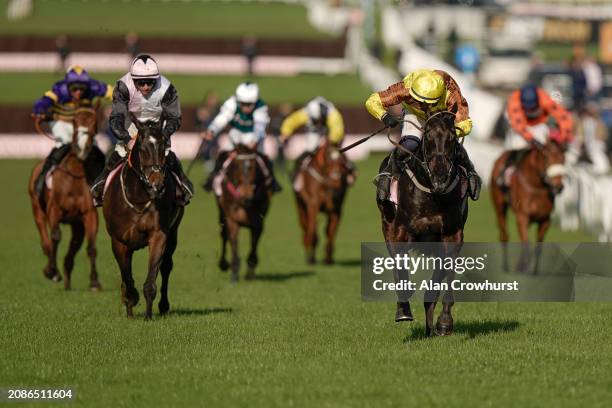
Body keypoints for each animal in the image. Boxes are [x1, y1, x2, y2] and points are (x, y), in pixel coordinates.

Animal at [27, 107, 103, 288]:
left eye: (94, 123)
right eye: (75, 123)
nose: (82, 148)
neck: (74, 176)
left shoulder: (89, 215)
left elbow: (91, 247)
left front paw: (94, 282)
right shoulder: (54, 210)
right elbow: (55, 237)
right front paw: (52, 272)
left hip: (77, 224)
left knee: (74, 246)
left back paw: (67, 278)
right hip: (37, 210)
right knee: (46, 242)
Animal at [103, 117, 183, 318]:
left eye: (164, 146)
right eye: (142, 147)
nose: (157, 185)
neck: (139, 197)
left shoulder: (159, 235)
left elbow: (151, 279)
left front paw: (148, 315)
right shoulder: (118, 241)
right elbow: (127, 278)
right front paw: (130, 303)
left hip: (174, 232)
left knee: (166, 266)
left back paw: (163, 306)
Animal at [215, 145, 272, 282]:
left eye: (254, 166)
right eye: (236, 166)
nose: (246, 195)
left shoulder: (258, 221)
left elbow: (254, 244)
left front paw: (250, 270)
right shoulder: (232, 220)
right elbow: (233, 242)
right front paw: (234, 272)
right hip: (222, 213)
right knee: (223, 234)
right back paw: (223, 264)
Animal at [376, 111, 466, 338]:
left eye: (453, 137)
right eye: (429, 137)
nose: (440, 175)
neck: (432, 194)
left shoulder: (451, 235)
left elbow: (447, 275)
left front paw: (444, 322)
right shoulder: (401, 232)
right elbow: (400, 268)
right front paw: (403, 310)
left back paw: (431, 328)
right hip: (387, 225)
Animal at [490, 140, 568, 274]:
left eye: (563, 159)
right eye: (546, 158)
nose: (558, 187)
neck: (537, 187)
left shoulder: (545, 220)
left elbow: (538, 247)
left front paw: (533, 270)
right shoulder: (522, 216)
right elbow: (526, 243)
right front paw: (523, 267)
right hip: (500, 206)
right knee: (504, 235)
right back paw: (506, 266)